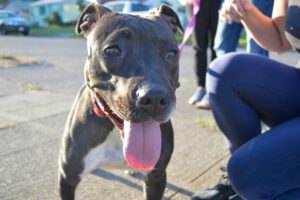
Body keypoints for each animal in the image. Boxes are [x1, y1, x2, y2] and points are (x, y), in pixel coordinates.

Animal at [57, 2, 182, 199]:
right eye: (112, 50)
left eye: (172, 53)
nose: (154, 98)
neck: (115, 130)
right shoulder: (67, 178)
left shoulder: (157, 175)